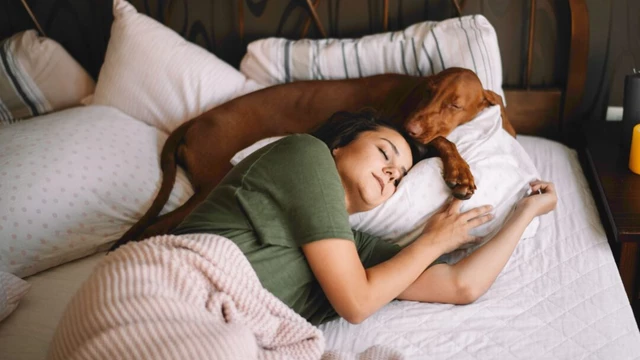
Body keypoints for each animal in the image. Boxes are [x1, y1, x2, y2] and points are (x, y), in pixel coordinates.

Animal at [111, 66, 516, 249]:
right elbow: (445, 141)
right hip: (210, 184)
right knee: (157, 226)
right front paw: (460, 172)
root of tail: (196, 120)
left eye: (454, 104)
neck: (410, 93)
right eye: (429, 91)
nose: (411, 127)